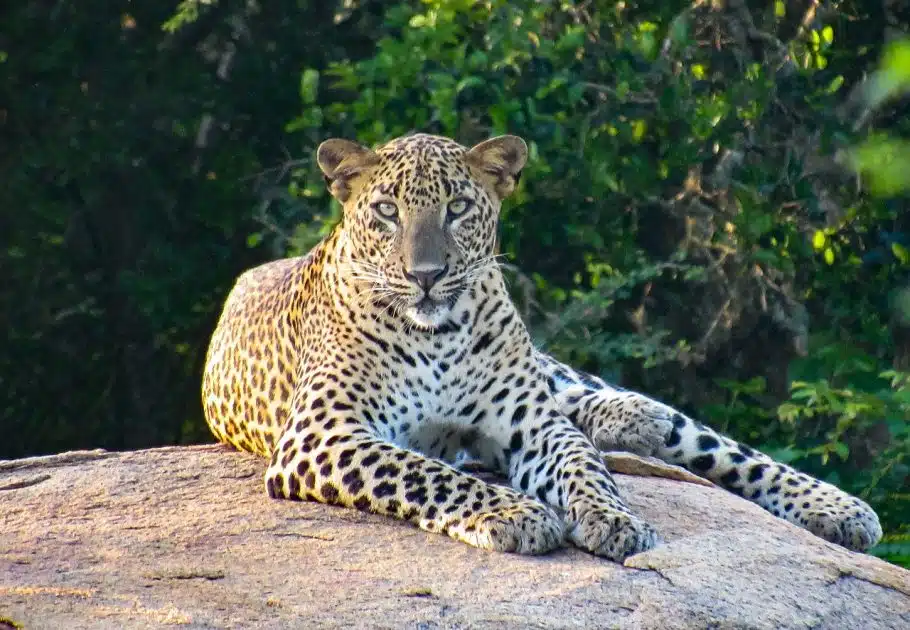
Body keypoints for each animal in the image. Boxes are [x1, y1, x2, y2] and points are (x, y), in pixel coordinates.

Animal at [202, 132, 882, 560]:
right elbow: (427, 472)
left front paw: (615, 520)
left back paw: (838, 506)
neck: (438, 336)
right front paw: (517, 515)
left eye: (458, 207)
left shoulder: (533, 424)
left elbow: (583, 467)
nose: (426, 275)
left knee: (707, 443)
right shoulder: (322, 434)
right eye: (387, 211)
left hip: (556, 381)